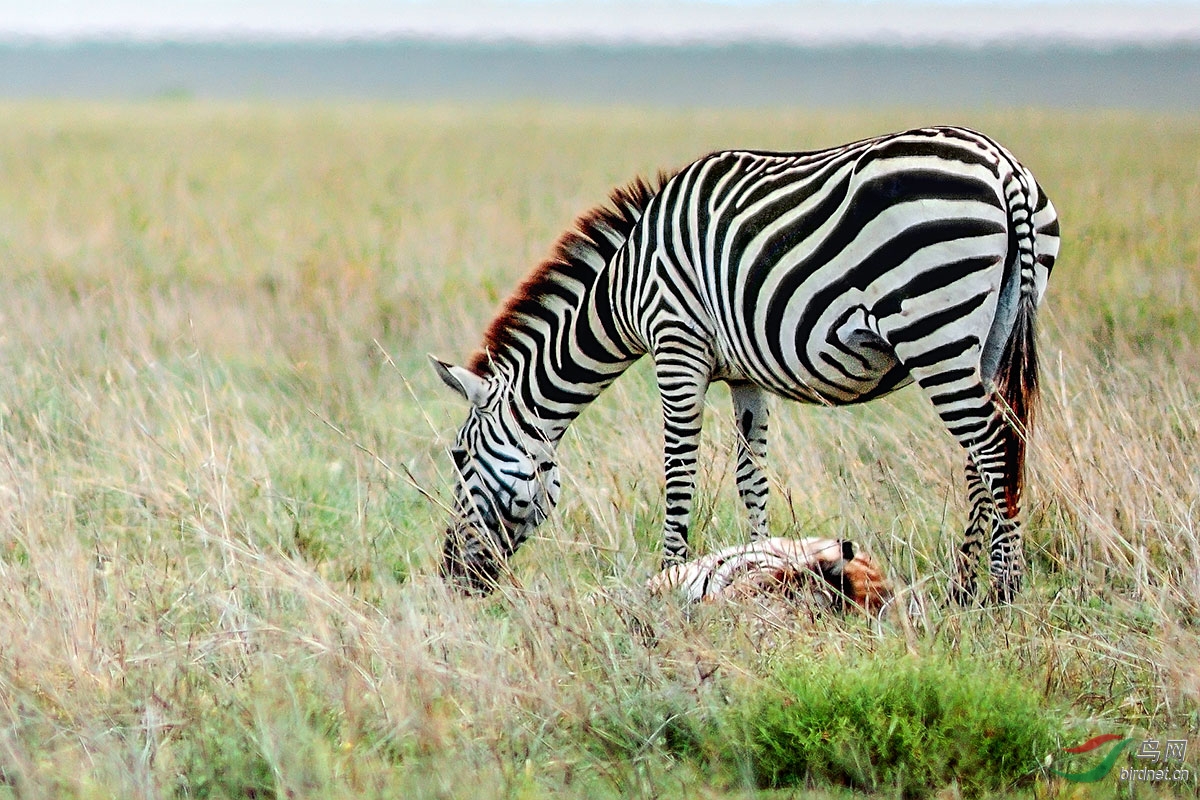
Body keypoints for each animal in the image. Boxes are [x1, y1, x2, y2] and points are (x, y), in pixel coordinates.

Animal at [432, 125, 1060, 604]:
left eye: (459, 456)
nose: (451, 577)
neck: (623, 286)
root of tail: (1004, 169)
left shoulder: (677, 345)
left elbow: (678, 475)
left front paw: (670, 575)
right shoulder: (743, 377)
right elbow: (751, 476)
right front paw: (762, 560)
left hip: (932, 324)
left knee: (994, 449)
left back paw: (1002, 593)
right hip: (988, 334)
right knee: (988, 454)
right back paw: (964, 590)